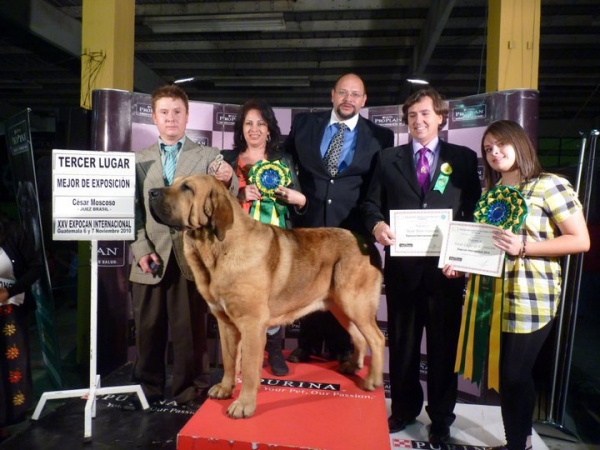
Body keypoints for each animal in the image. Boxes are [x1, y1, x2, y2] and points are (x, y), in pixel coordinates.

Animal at [149, 173, 384, 418]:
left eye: (187, 188)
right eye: (174, 183)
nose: (150, 192)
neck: (216, 248)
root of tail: (368, 243)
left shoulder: (252, 323)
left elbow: (249, 369)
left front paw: (244, 405)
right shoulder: (225, 323)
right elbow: (229, 359)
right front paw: (225, 388)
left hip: (355, 303)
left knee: (377, 338)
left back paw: (372, 381)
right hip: (341, 307)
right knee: (359, 336)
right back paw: (352, 366)